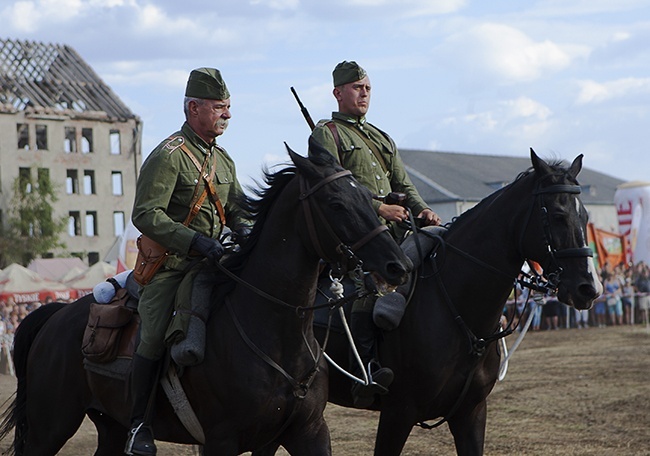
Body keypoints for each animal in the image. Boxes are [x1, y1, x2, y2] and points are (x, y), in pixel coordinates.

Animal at [0, 143, 410, 456]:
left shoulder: (306, 434)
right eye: (336, 203)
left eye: (368, 199)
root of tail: (54, 315)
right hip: (49, 427)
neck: (278, 335)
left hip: (110, 427)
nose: (398, 266)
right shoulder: (222, 441)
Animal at [256, 148, 596, 454]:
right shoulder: (398, 414)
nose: (587, 289)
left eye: (585, 216)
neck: (457, 310)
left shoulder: (471, 414)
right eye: (558, 215)